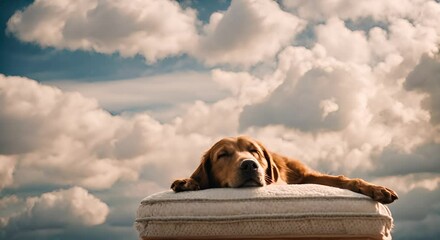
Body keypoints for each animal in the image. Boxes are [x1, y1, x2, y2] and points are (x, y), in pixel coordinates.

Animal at [172, 136, 398, 203]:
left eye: (254, 151)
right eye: (223, 155)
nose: (249, 165)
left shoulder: (308, 176)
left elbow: (343, 179)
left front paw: (375, 188)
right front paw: (189, 182)